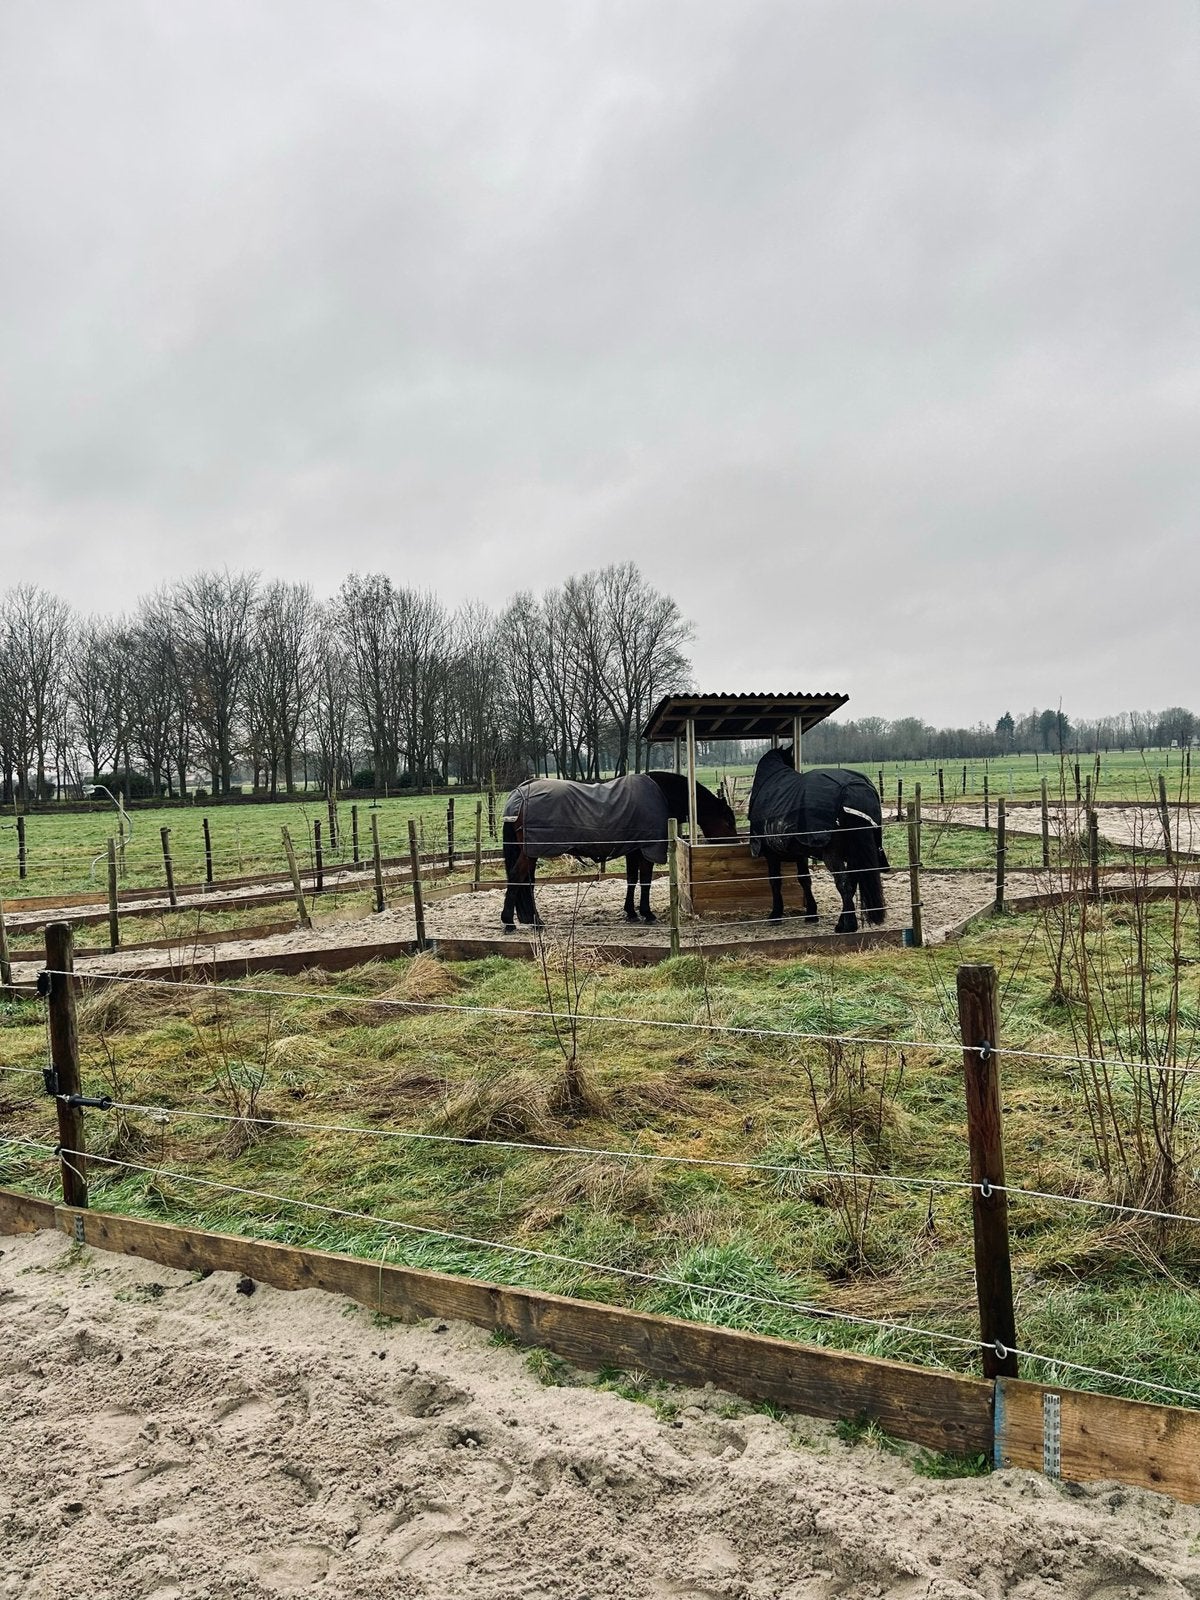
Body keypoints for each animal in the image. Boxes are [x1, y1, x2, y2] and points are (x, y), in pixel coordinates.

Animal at [501, 770, 737, 932]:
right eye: (728, 822)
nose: (734, 843)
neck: (662, 794)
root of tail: (518, 795)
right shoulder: (647, 849)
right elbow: (645, 880)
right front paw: (647, 913)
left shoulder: (633, 849)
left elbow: (632, 879)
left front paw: (631, 912)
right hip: (531, 852)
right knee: (517, 877)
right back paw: (511, 922)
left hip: (530, 852)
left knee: (527, 883)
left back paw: (531, 920)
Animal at [748, 748, 889, 934]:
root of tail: (853, 789)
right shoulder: (800, 853)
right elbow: (804, 879)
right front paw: (811, 913)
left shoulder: (771, 854)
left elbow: (775, 881)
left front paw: (776, 914)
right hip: (855, 853)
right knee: (852, 881)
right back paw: (841, 922)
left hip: (833, 854)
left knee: (844, 883)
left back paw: (848, 925)